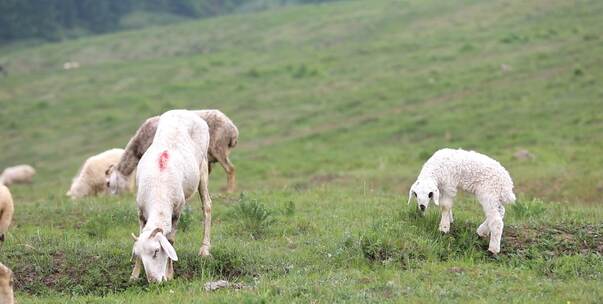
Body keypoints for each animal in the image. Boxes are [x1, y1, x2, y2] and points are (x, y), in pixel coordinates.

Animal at [107, 109, 239, 195]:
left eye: (108, 183)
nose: (114, 198)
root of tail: (233, 129)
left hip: (218, 148)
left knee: (230, 169)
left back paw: (230, 191)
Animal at [130, 109, 212, 282]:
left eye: (156, 251)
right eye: (139, 254)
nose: (154, 281)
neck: (158, 194)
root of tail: (186, 111)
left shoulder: (176, 211)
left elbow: (170, 240)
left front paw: (169, 274)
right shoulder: (140, 211)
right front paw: (134, 275)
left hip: (203, 166)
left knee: (207, 205)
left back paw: (204, 250)